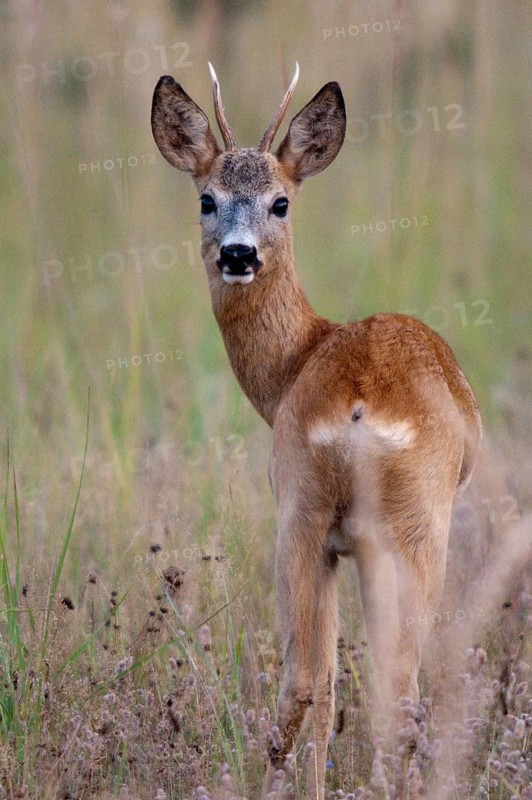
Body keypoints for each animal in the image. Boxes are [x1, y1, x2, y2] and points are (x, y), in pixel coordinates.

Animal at [151, 64, 482, 799]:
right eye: (207, 199)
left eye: (281, 202)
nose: (238, 254)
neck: (298, 360)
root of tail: (357, 403)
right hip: (405, 526)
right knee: (381, 688)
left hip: (308, 517)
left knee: (317, 683)